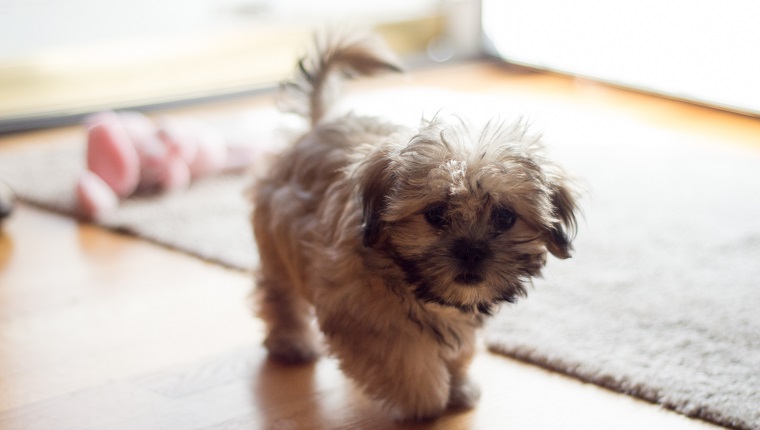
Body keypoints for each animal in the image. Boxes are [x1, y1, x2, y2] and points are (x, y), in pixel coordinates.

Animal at [252, 32, 580, 420]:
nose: (471, 252)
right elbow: (406, 361)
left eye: (505, 217)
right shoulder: (364, 318)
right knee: (279, 293)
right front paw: (425, 401)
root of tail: (318, 127)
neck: (413, 283)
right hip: (277, 241)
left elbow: (460, 348)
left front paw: (459, 385)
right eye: (436, 213)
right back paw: (291, 342)